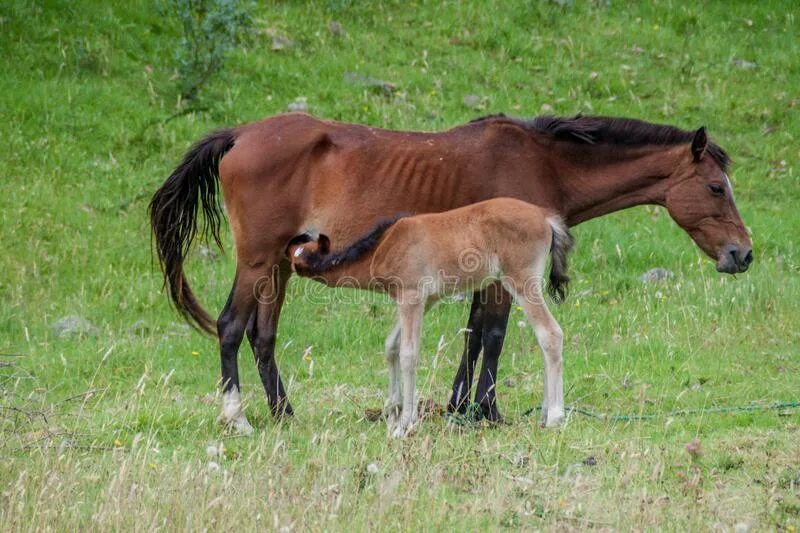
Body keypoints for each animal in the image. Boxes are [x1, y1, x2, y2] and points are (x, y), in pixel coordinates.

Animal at [288, 198, 576, 436]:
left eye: (298, 261)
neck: (385, 244)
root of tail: (545, 217)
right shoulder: (424, 301)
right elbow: (391, 346)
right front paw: (393, 413)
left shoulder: (411, 297)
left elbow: (408, 354)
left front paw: (406, 423)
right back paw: (544, 414)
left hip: (522, 282)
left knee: (550, 334)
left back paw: (555, 416)